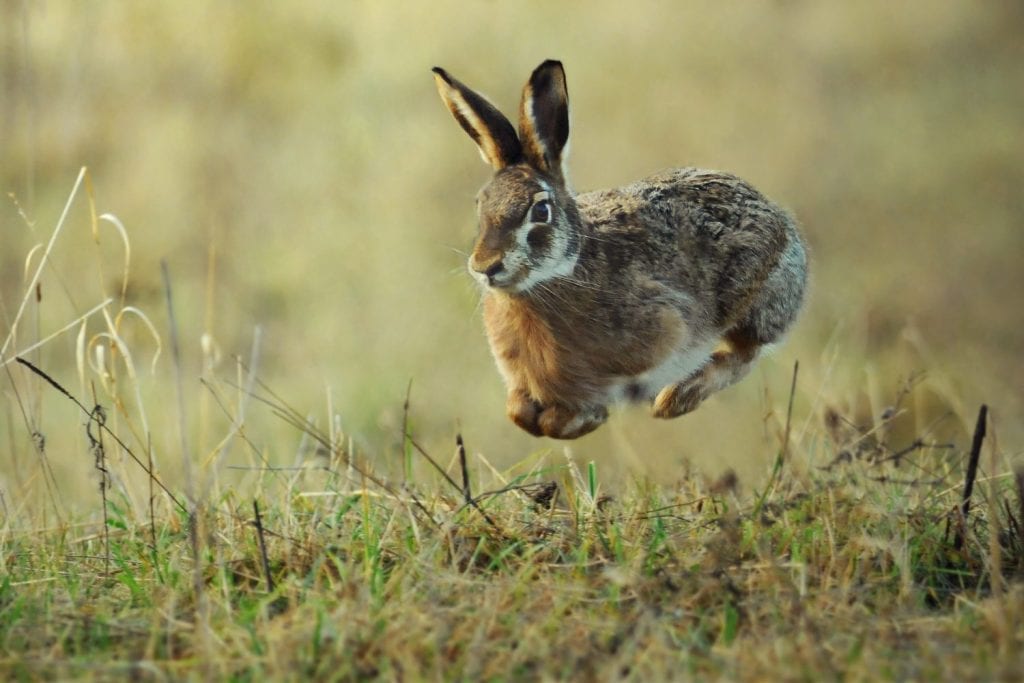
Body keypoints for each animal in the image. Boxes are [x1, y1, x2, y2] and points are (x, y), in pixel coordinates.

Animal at [432, 60, 807, 439]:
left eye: (540, 211)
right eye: (480, 205)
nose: (485, 266)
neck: (553, 280)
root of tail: (781, 220)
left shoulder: (664, 330)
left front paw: (587, 418)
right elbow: (518, 414)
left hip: (756, 298)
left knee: (745, 353)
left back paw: (676, 398)